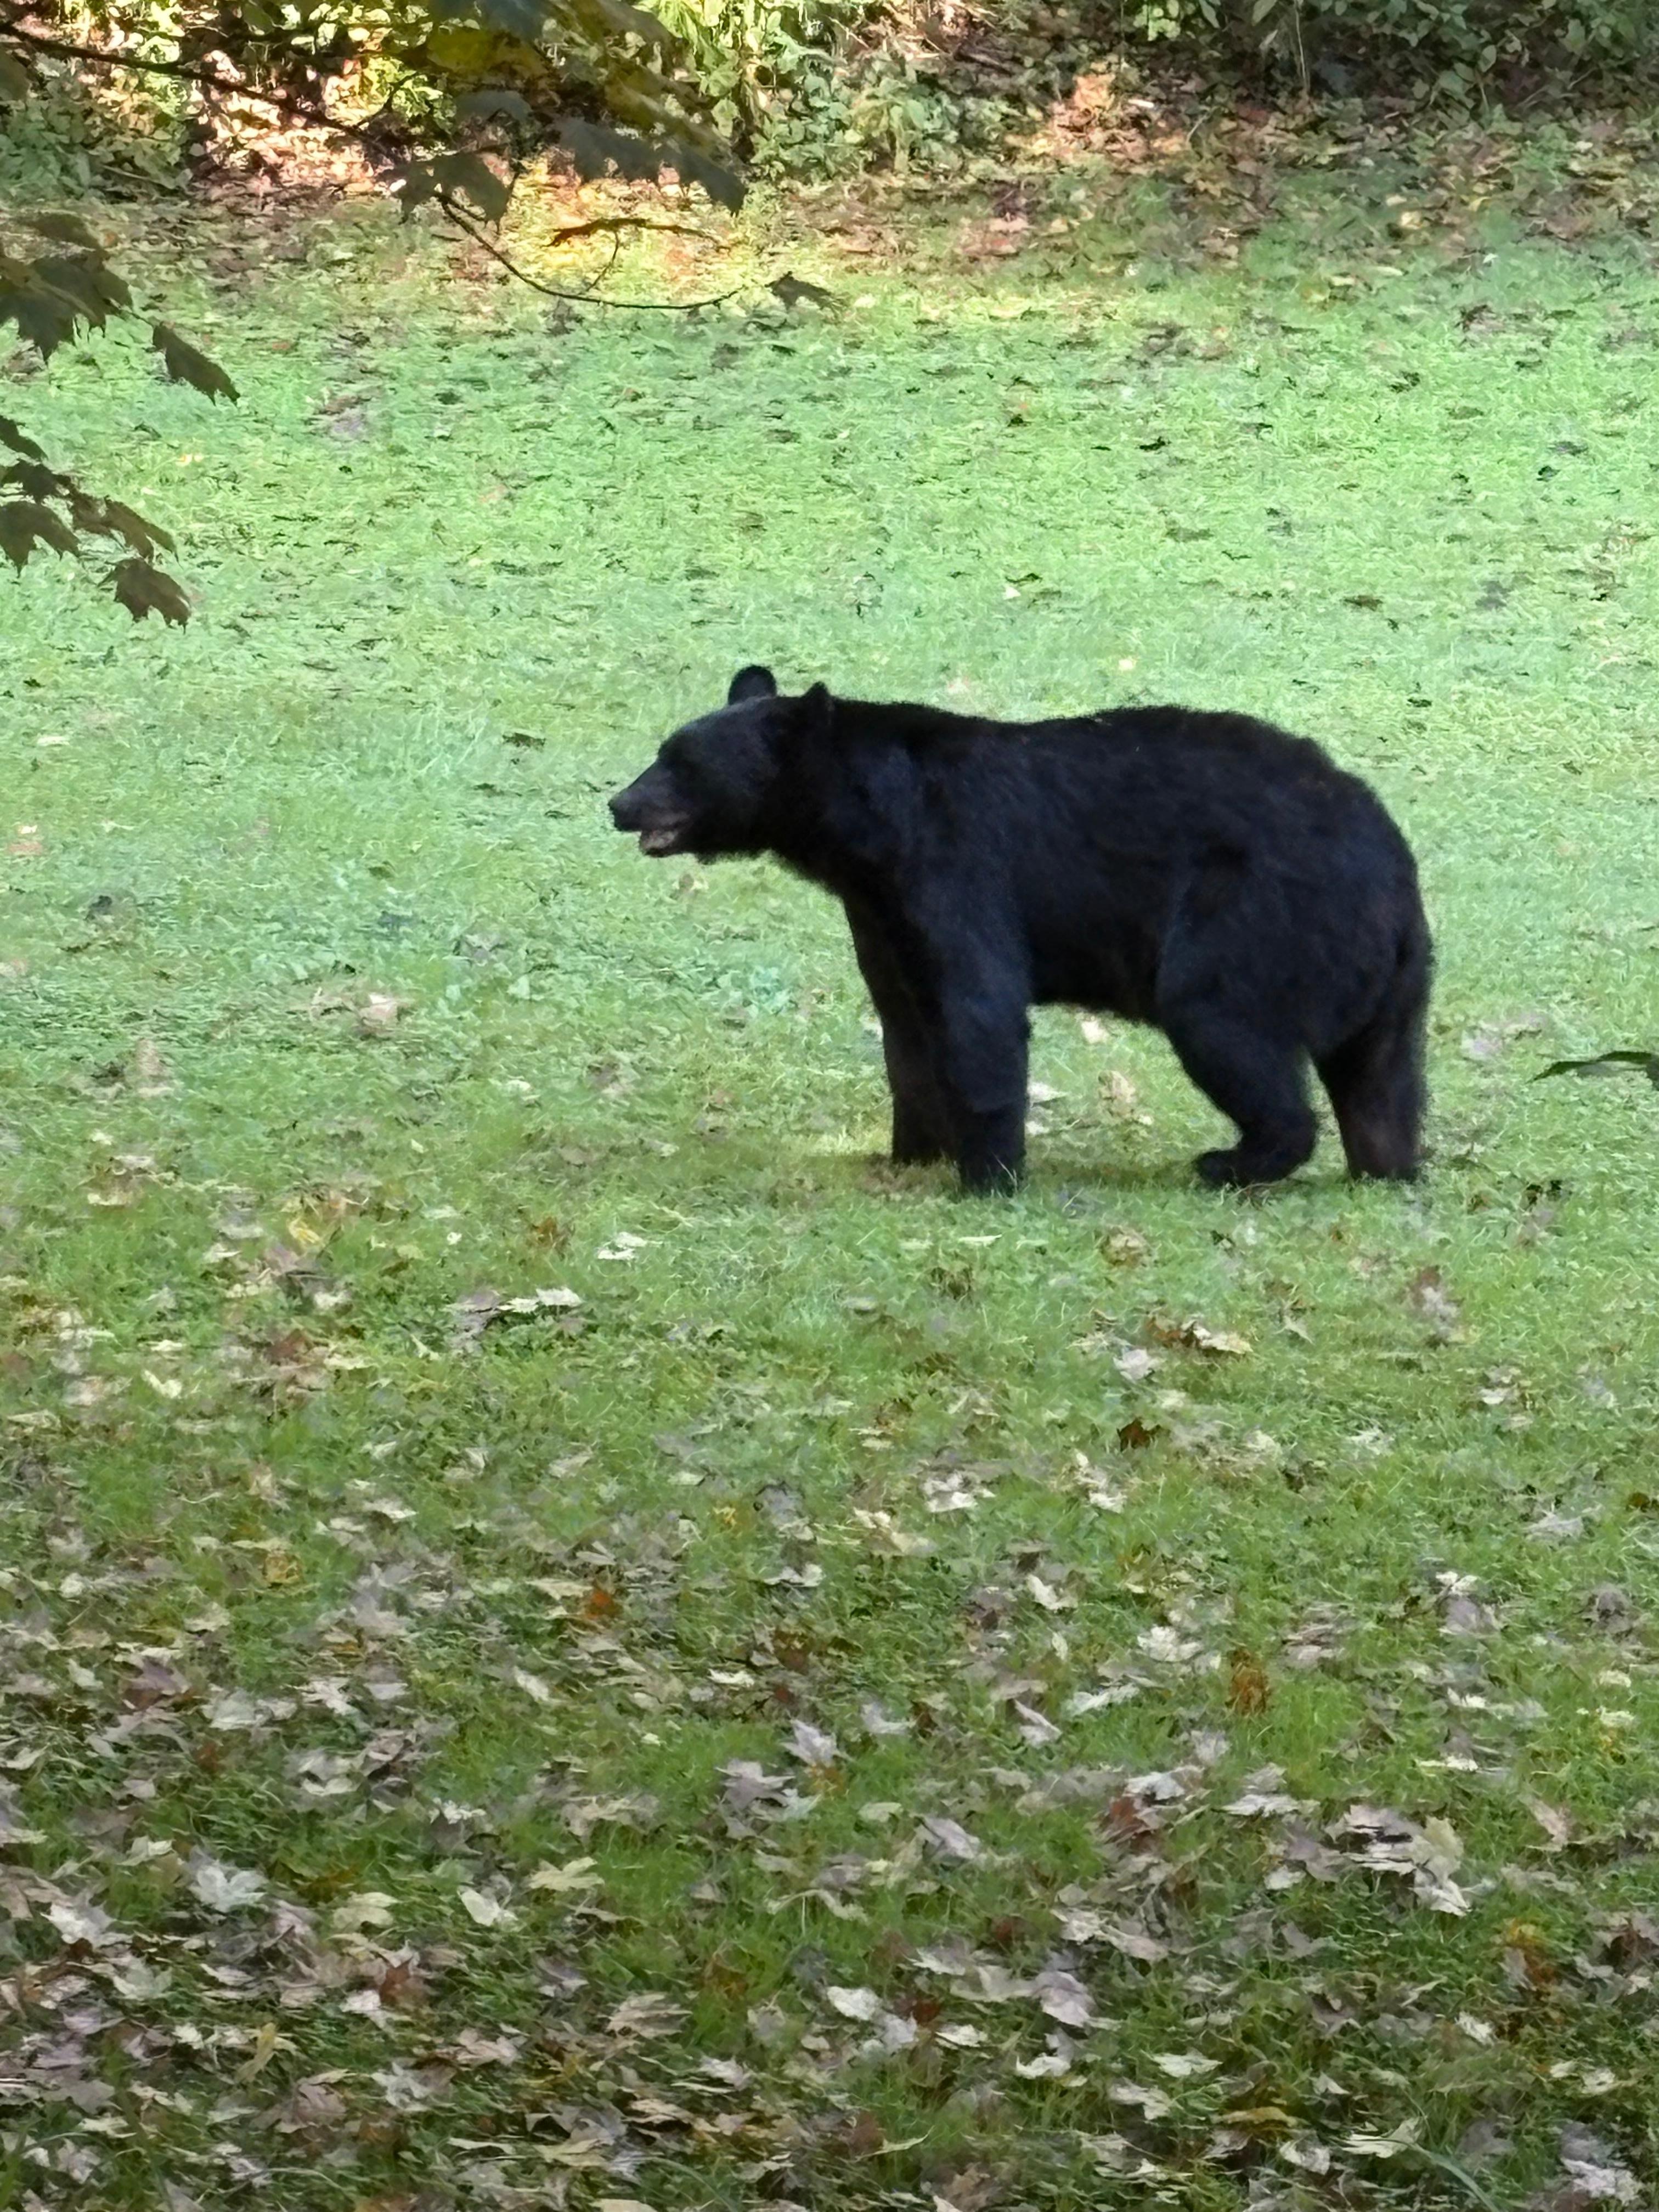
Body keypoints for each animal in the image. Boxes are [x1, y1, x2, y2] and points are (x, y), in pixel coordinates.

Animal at [610, 668, 1432, 1196]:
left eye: (681, 763)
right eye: (663, 751)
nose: (618, 803)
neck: (867, 832)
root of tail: (1392, 864)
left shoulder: (955, 865)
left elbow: (979, 1012)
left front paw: (987, 1177)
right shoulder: (881, 910)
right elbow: (906, 1027)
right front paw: (912, 1154)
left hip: (1252, 917)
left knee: (1217, 1017)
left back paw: (1231, 1162)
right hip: (1390, 978)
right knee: (1381, 1081)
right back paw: (1384, 1166)